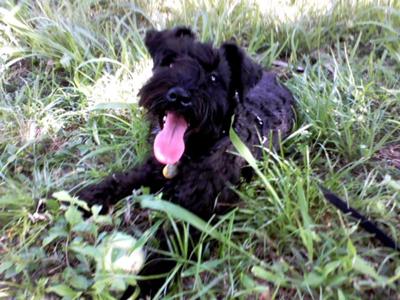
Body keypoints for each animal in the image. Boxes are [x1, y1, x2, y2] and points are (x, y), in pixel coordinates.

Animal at [78, 27, 296, 296]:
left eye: (213, 77)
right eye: (170, 63)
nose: (178, 96)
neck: (192, 153)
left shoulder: (194, 213)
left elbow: (169, 250)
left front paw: (141, 286)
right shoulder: (152, 169)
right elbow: (122, 180)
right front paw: (86, 198)